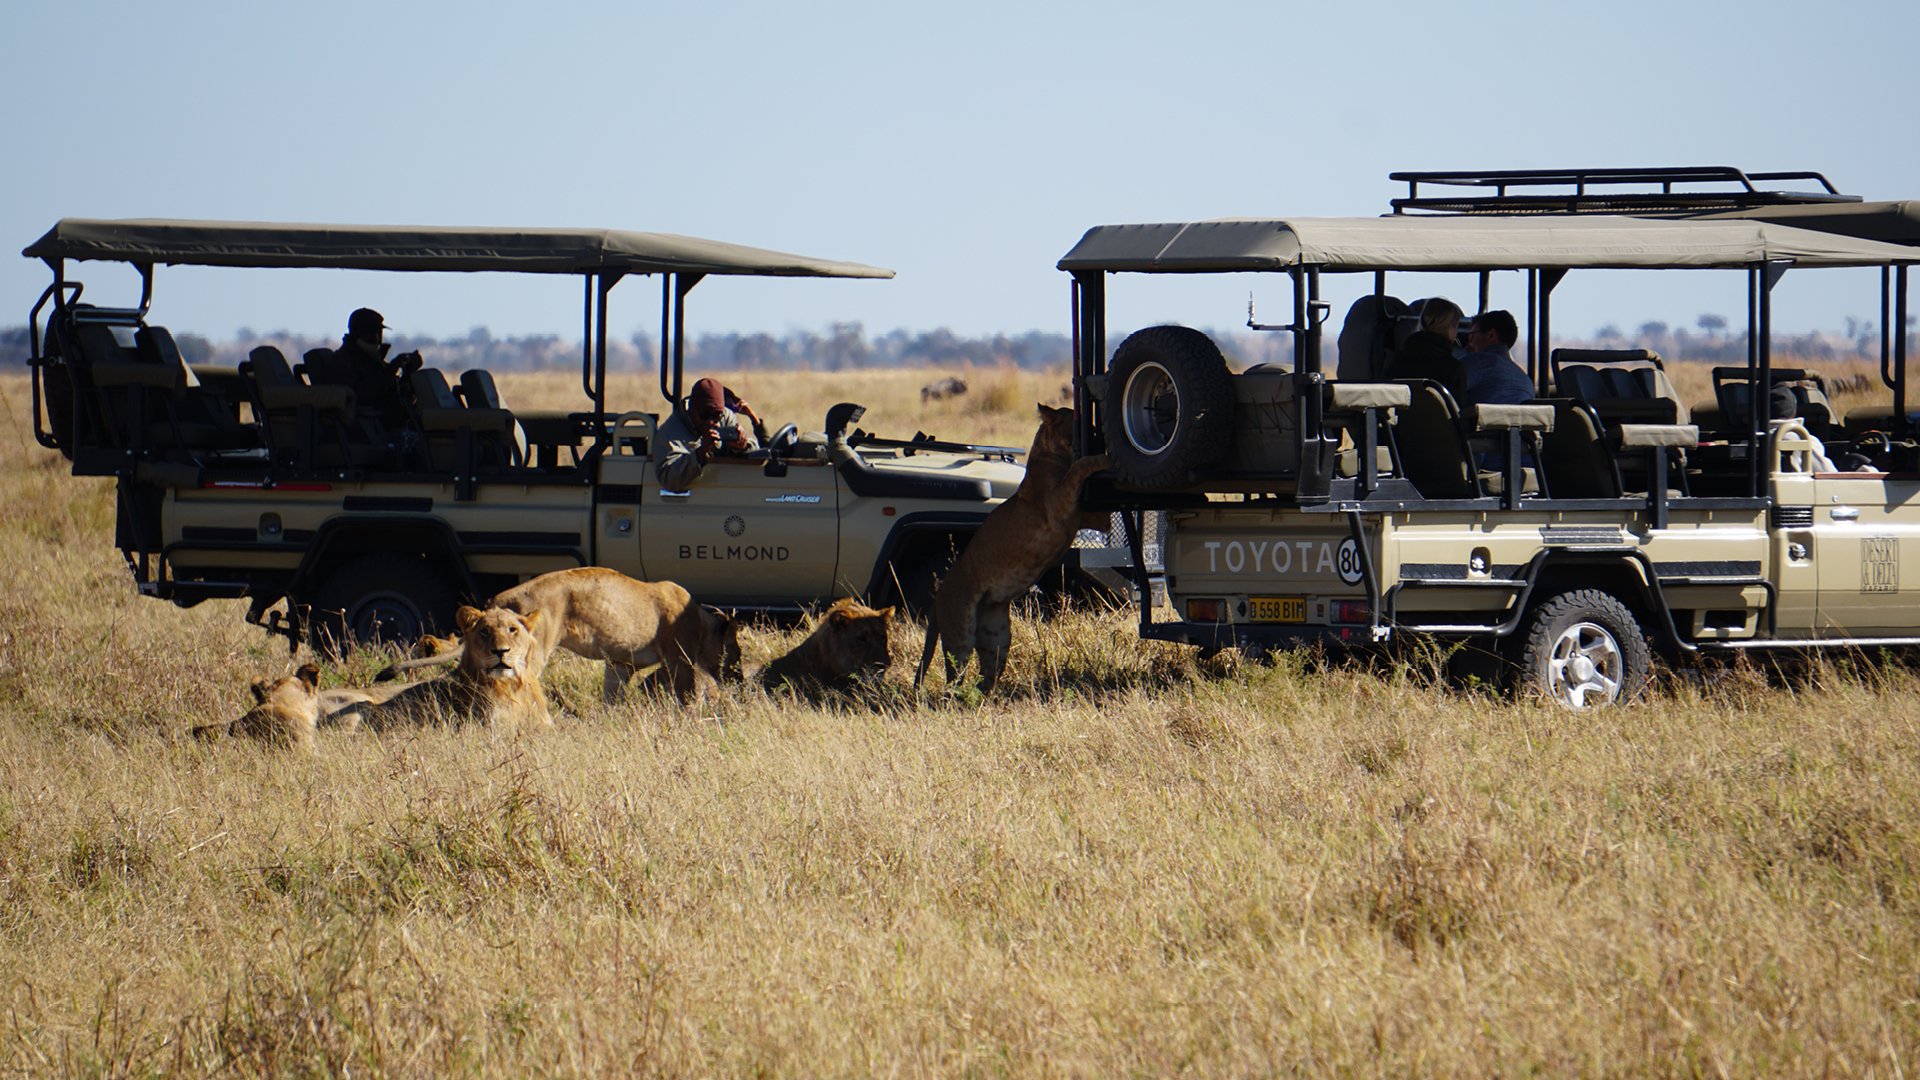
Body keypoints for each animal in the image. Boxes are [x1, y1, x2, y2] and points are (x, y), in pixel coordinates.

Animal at [913, 399, 1113, 691]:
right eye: (1084, 426)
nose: (1100, 434)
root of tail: (937, 599)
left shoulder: (1093, 519)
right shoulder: (1058, 505)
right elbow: (1078, 468)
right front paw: (1103, 459)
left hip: (997, 637)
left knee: (985, 678)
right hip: (960, 636)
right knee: (954, 681)